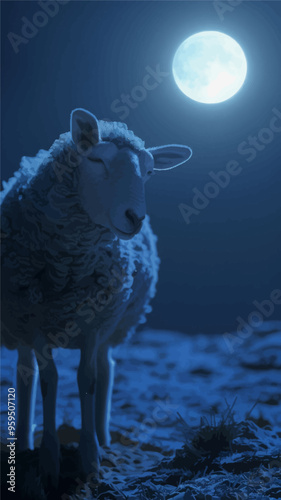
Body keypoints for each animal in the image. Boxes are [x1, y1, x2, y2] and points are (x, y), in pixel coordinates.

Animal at [0, 109, 191, 488]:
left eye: (149, 171)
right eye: (97, 160)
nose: (135, 218)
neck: (66, 267)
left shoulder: (92, 322)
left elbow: (87, 380)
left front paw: (90, 458)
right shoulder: (39, 323)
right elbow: (49, 380)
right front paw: (48, 460)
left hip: (113, 325)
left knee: (106, 368)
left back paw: (104, 439)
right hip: (19, 324)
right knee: (25, 372)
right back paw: (23, 442)